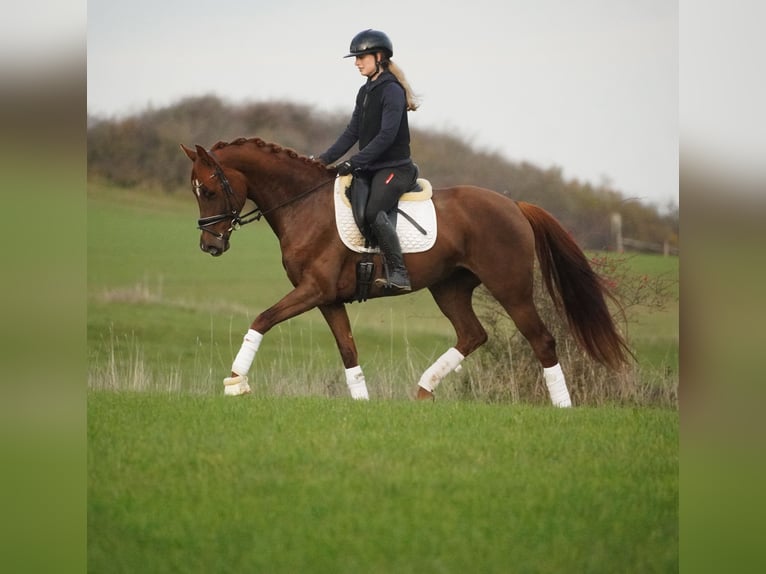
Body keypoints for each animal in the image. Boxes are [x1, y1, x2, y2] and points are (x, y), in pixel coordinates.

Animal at [180, 137, 631, 405]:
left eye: (211, 190)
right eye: (197, 191)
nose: (210, 246)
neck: (304, 204)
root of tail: (515, 205)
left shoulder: (313, 290)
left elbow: (262, 319)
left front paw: (235, 381)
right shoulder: (327, 299)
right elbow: (348, 350)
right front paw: (362, 403)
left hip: (511, 288)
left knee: (542, 340)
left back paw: (563, 408)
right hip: (449, 288)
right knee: (472, 334)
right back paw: (422, 392)